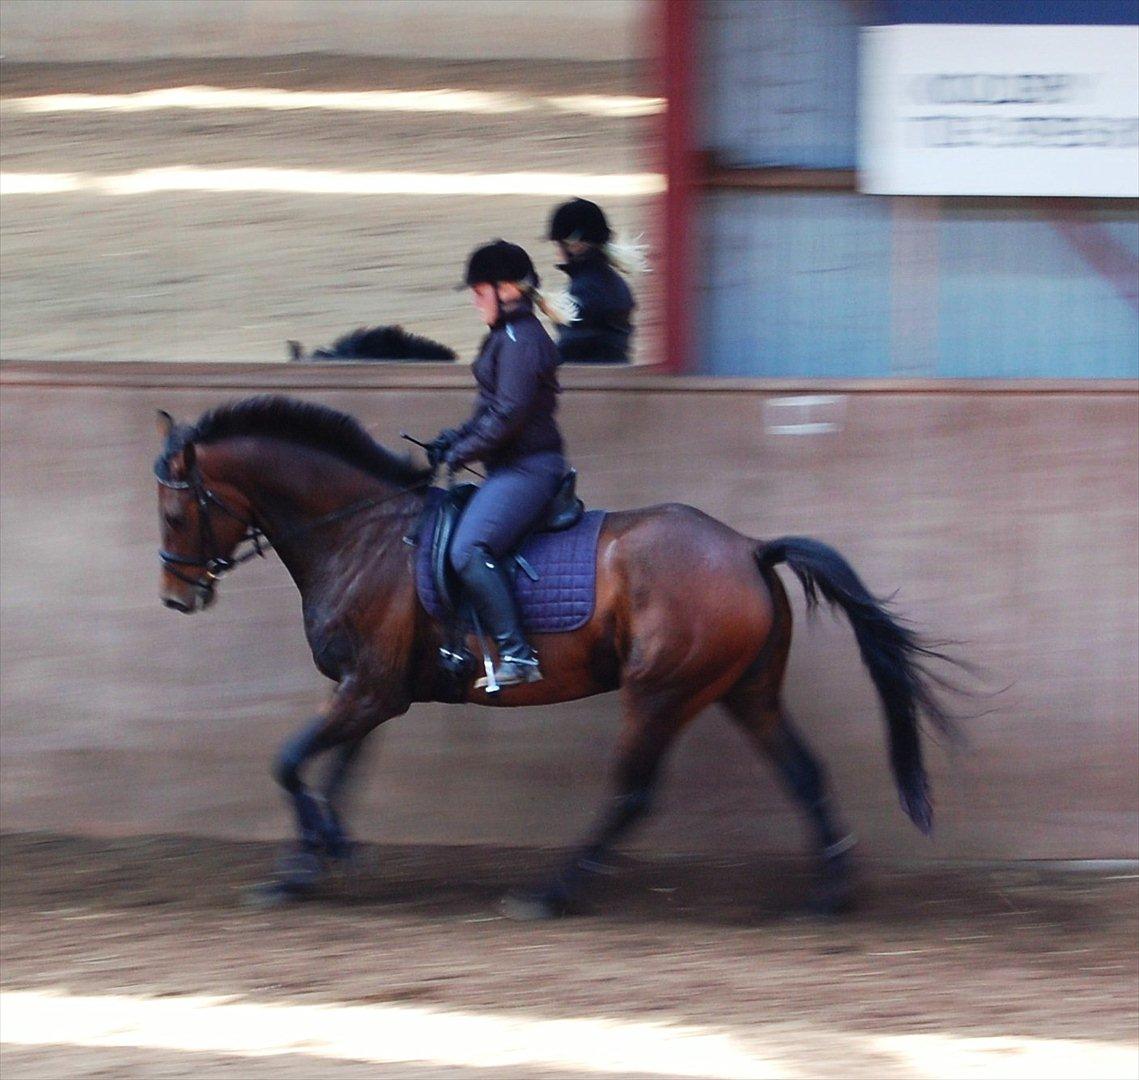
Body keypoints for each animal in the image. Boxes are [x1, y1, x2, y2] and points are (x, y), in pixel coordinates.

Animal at [156, 391, 961, 915]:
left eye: (174, 510)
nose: (175, 599)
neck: (361, 534)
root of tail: (747, 549)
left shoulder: (369, 689)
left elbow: (290, 761)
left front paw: (313, 855)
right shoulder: (369, 688)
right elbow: (332, 772)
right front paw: (305, 865)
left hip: (661, 692)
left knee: (632, 794)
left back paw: (550, 893)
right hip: (745, 692)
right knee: (802, 773)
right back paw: (829, 895)